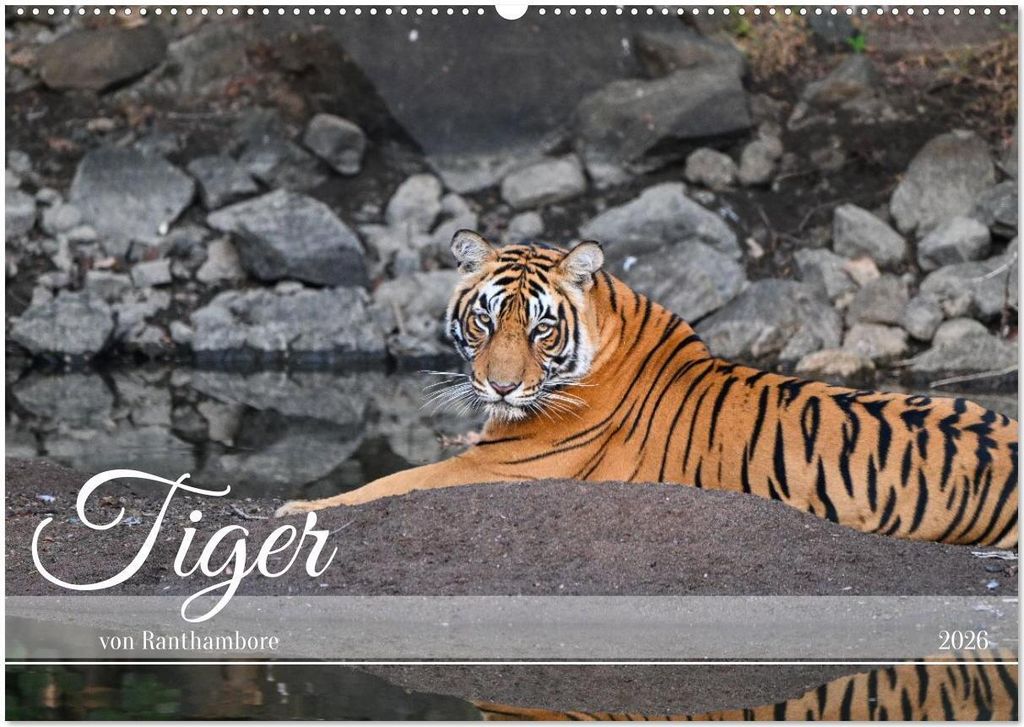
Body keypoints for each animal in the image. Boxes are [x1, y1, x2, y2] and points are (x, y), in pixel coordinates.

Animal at [276, 230, 1019, 548]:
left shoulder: (496, 468)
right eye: (486, 318)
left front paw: (295, 507)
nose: (502, 387)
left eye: (541, 328)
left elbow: (385, 486)